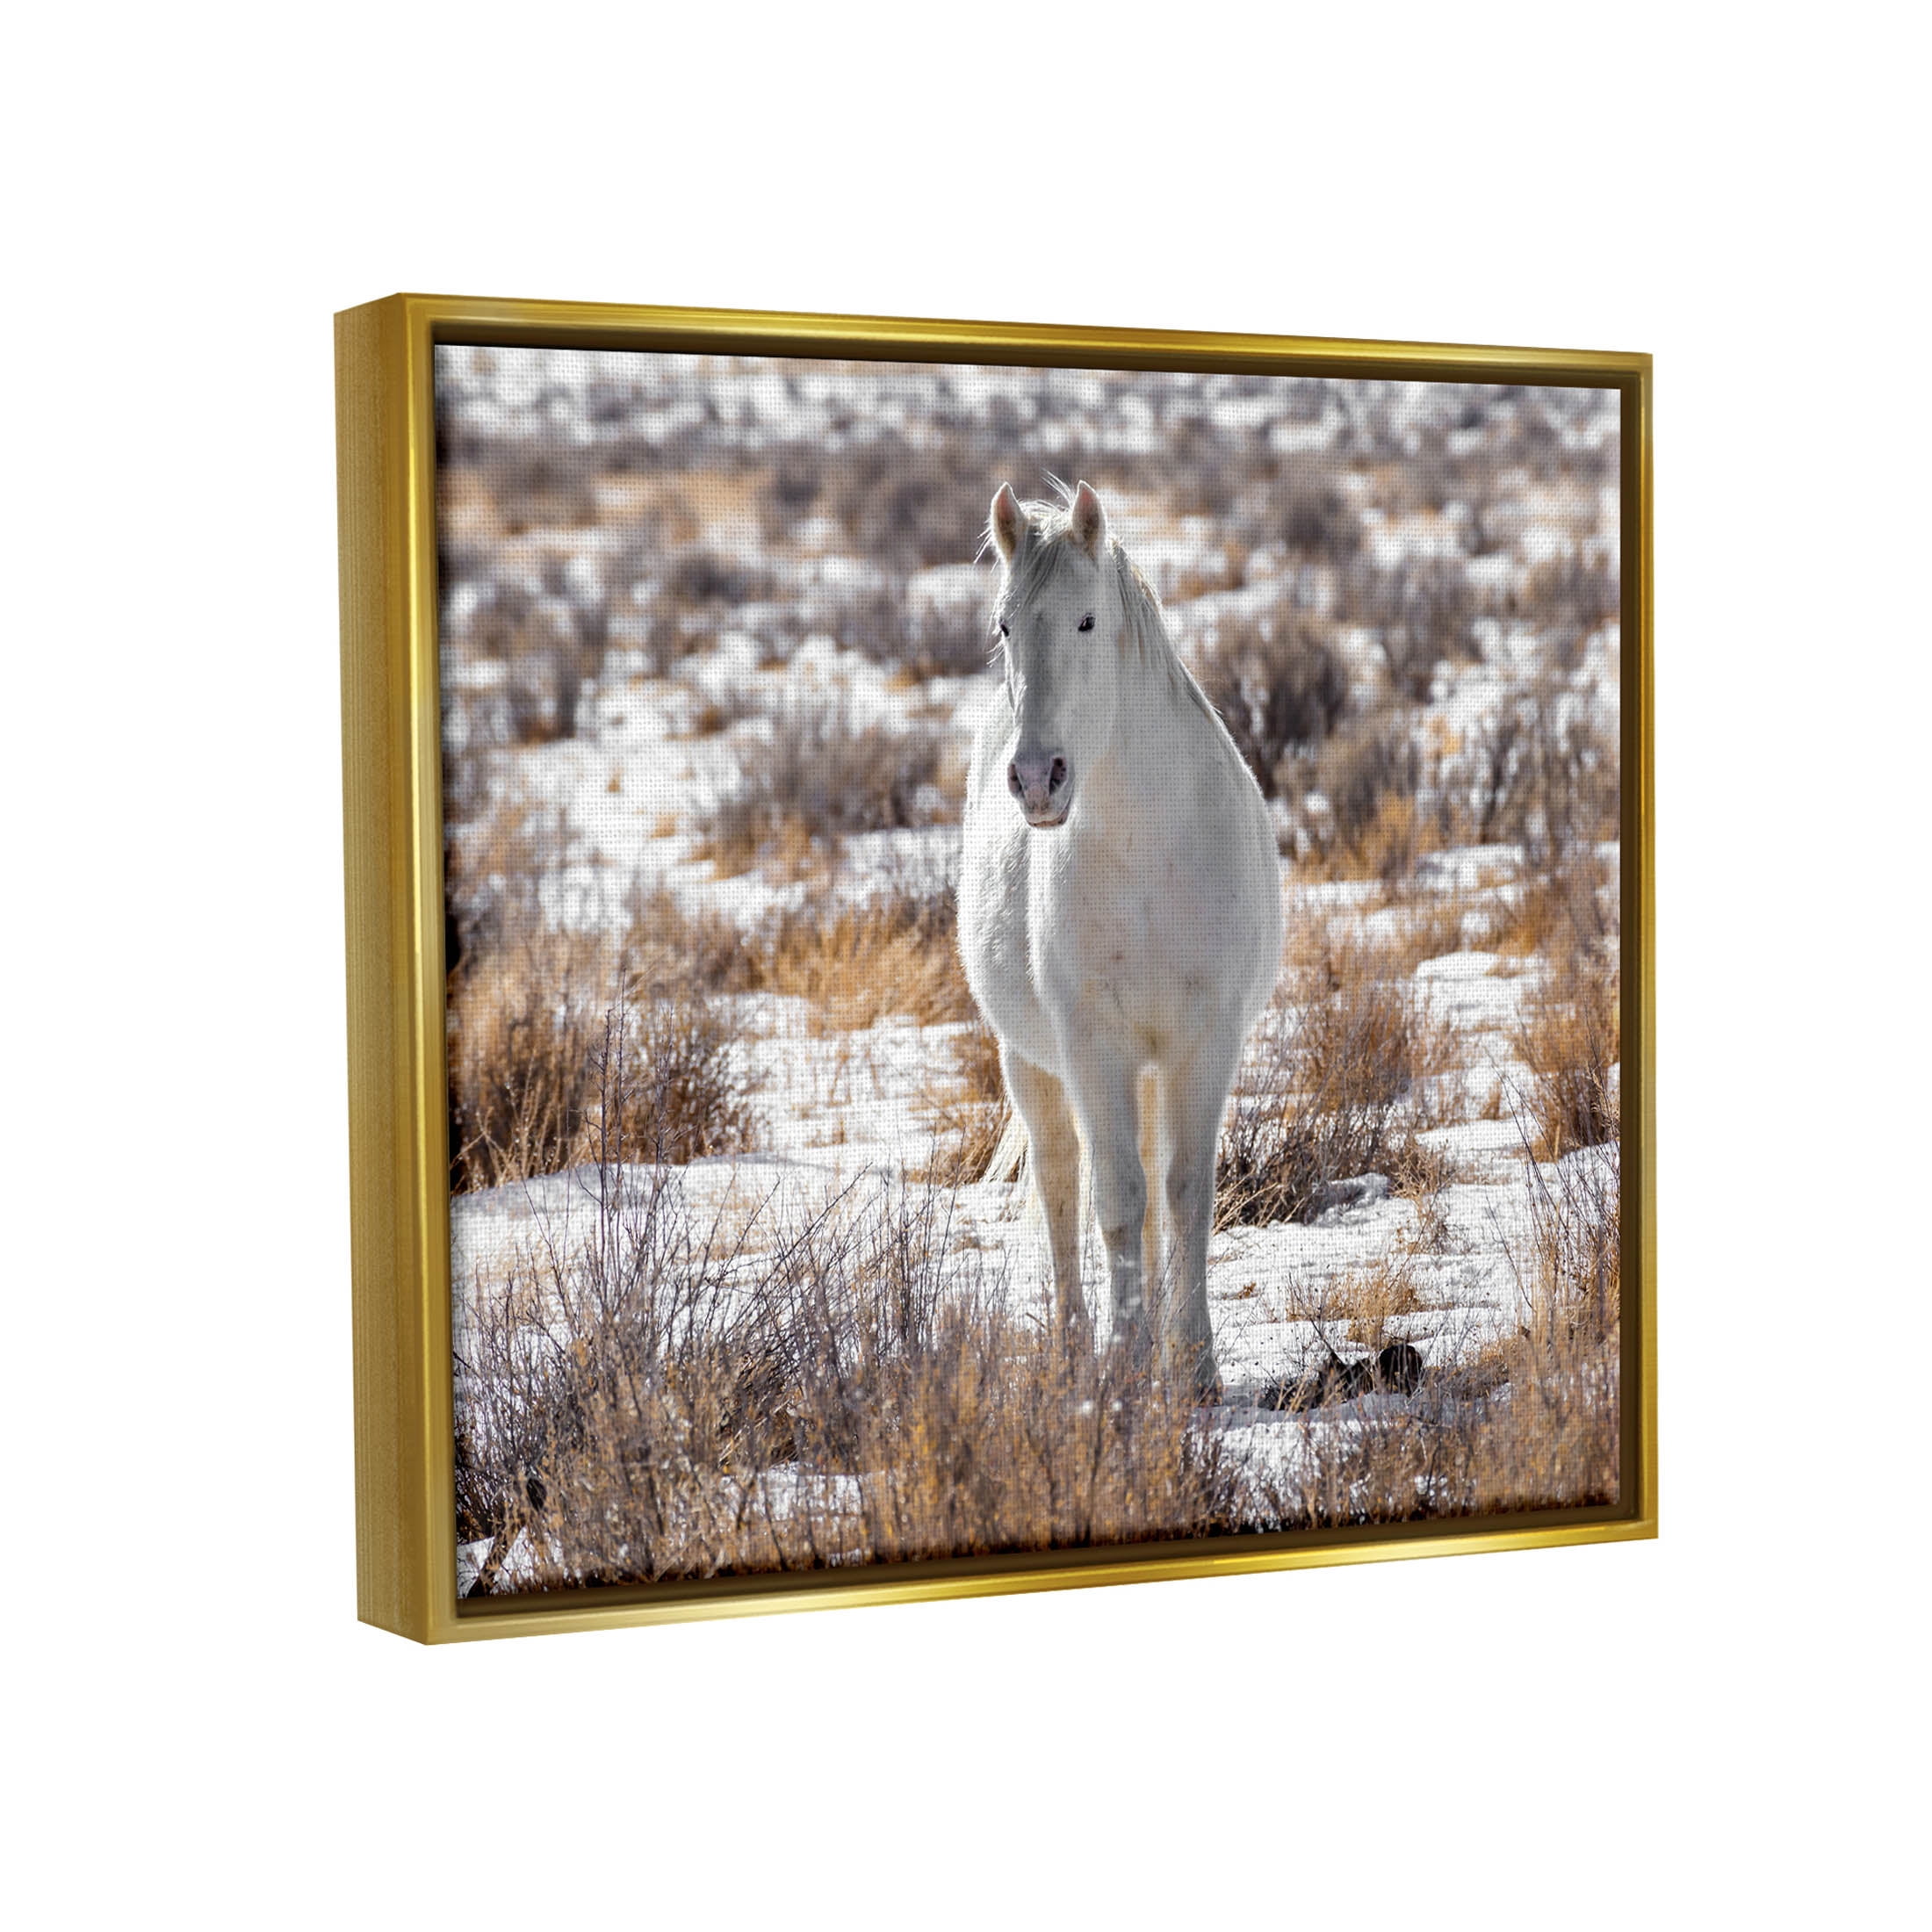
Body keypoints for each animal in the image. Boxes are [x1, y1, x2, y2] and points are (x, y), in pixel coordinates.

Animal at [958, 481, 1284, 1397]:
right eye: (1005, 625)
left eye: (1087, 620)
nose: (1038, 779)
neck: (1147, 849)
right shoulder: (1092, 1045)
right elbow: (1114, 1199)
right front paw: (1128, 1366)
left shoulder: (1204, 1040)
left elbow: (1184, 1192)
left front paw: (1196, 1366)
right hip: (1030, 1061)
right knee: (1062, 1184)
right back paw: (1077, 1346)